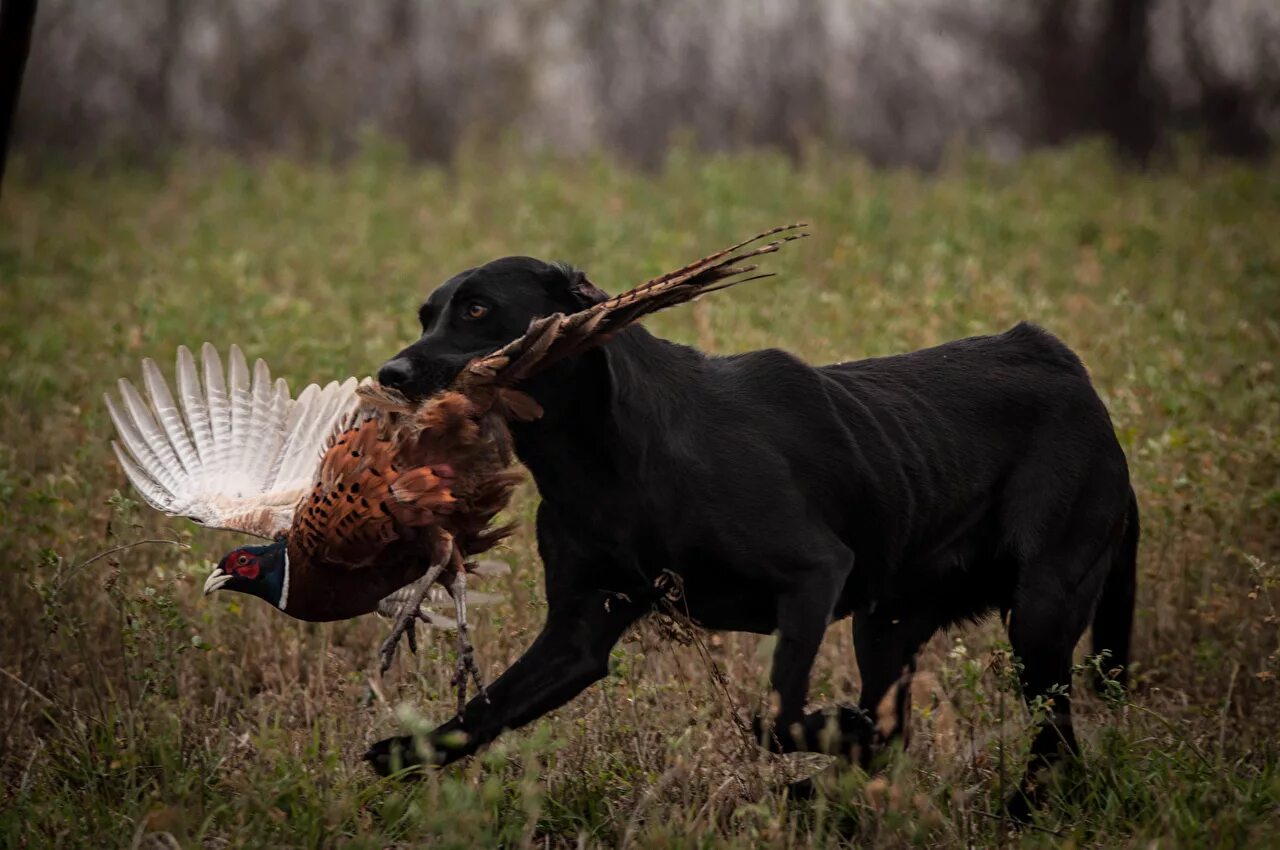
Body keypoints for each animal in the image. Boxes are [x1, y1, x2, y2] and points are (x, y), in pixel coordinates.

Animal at [366, 257, 1136, 809]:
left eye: (477, 309)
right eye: (427, 315)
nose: (390, 373)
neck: (600, 456)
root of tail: (1065, 366)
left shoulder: (814, 574)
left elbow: (774, 715)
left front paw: (834, 733)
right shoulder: (577, 634)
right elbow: (484, 710)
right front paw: (399, 752)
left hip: (1040, 611)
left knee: (1054, 739)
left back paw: (1014, 809)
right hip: (887, 624)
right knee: (899, 734)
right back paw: (828, 793)